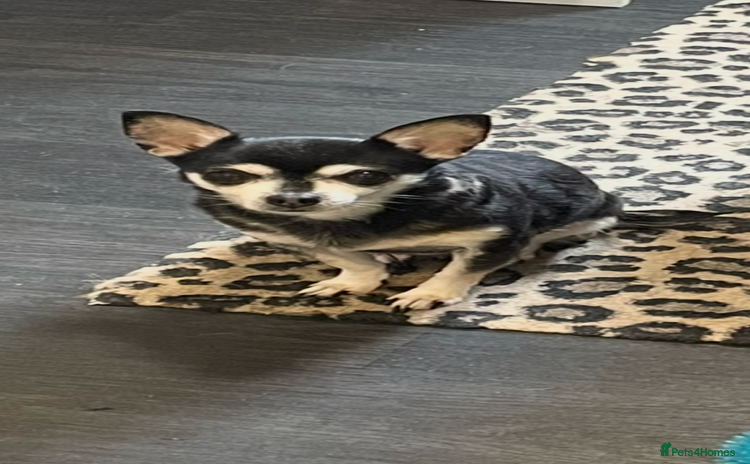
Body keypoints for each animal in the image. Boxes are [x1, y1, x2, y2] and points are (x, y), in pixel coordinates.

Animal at [121, 111, 692, 310]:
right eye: (230, 176)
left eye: (363, 176)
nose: (293, 199)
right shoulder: (293, 235)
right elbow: (350, 260)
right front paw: (355, 277)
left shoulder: (494, 230)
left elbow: (461, 267)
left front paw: (428, 291)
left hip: (590, 211)